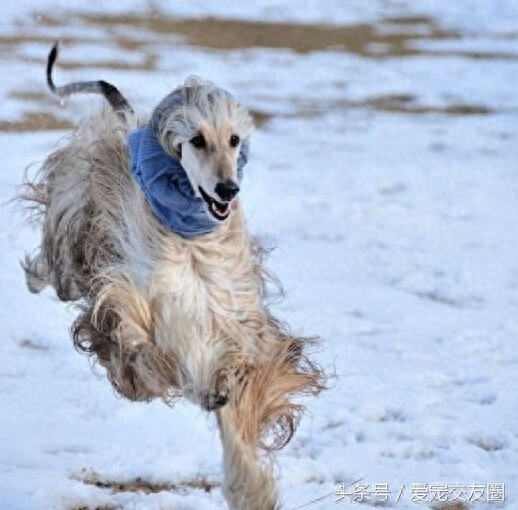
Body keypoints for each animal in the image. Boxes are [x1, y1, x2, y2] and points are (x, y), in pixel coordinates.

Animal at [23, 43, 330, 510]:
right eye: (197, 140)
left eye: (234, 139)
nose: (228, 190)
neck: (189, 237)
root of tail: (127, 120)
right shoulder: (137, 291)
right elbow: (142, 337)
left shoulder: (231, 320)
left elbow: (237, 396)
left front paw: (249, 489)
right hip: (75, 215)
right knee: (56, 265)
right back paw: (36, 274)